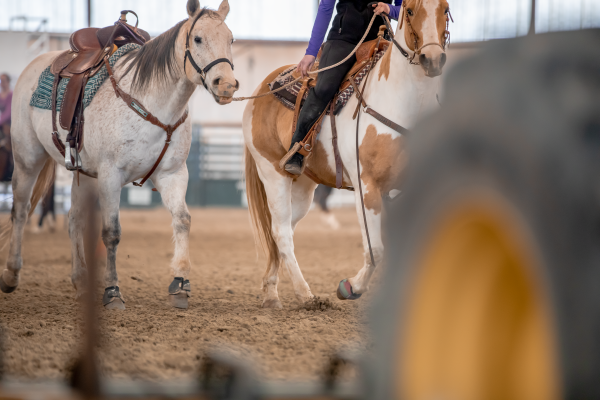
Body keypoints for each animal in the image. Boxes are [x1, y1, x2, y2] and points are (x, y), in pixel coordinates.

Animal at [1, 0, 238, 310]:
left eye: (231, 39)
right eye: (197, 39)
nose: (227, 84)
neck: (153, 104)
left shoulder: (172, 175)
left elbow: (182, 220)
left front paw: (180, 283)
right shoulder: (111, 176)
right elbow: (111, 234)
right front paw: (112, 291)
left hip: (84, 173)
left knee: (74, 219)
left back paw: (80, 282)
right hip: (28, 160)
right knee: (20, 211)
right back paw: (11, 274)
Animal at [244, 0, 450, 308]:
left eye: (445, 10)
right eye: (412, 11)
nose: (433, 59)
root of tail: (262, 87)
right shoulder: (368, 187)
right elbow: (376, 248)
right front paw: (350, 287)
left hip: (303, 187)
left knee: (281, 231)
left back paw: (271, 292)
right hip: (273, 173)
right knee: (280, 232)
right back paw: (306, 294)